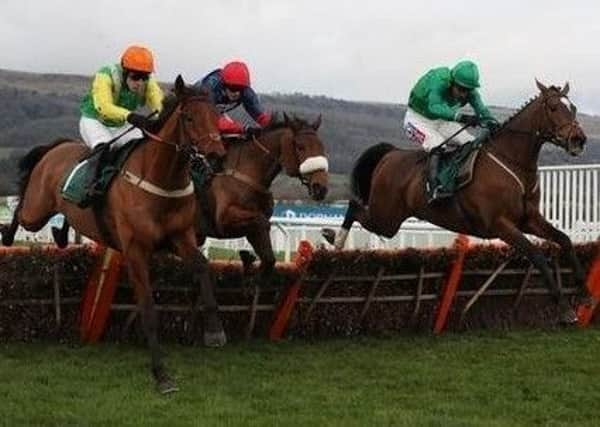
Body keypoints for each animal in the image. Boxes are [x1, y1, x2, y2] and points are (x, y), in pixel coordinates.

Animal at [0, 77, 227, 394]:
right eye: (189, 117)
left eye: (216, 117)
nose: (217, 156)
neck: (161, 179)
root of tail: (57, 146)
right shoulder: (135, 250)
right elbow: (148, 311)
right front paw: (161, 375)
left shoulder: (180, 238)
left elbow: (203, 268)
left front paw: (215, 331)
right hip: (36, 210)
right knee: (21, 209)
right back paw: (7, 234)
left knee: (62, 219)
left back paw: (61, 233)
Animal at [326, 81, 588, 324]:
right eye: (553, 107)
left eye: (574, 108)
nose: (579, 140)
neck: (511, 162)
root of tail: (390, 154)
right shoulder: (499, 224)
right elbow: (536, 254)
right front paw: (564, 308)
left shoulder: (529, 219)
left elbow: (564, 240)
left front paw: (584, 291)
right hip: (386, 217)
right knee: (356, 207)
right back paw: (334, 238)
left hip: (388, 218)